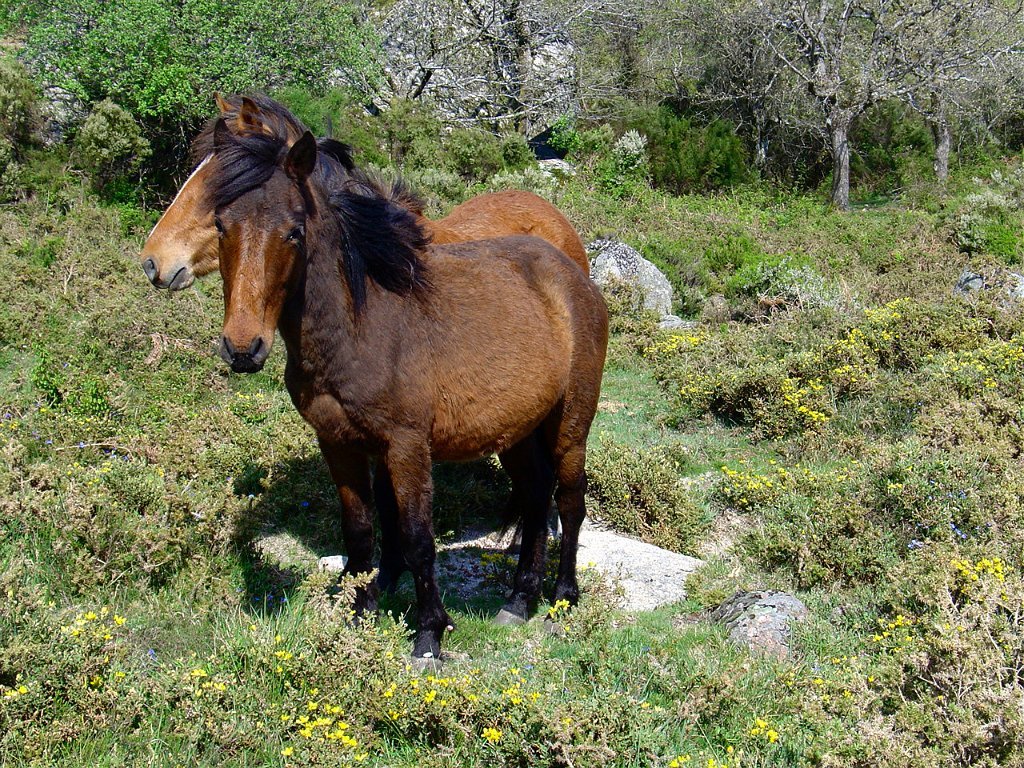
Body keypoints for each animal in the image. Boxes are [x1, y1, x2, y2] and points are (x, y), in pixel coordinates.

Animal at [204, 103, 608, 659]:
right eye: (221, 226)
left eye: (293, 232)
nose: (243, 348)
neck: (362, 324)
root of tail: (575, 276)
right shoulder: (338, 443)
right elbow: (359, 533)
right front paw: (357, 613)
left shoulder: (407, 446)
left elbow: (417, 538)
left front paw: (429, 633)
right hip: (518, 432)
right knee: (534, 494)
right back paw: (519, 599)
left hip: (570, 424)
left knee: (569, 501)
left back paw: (564, 596)